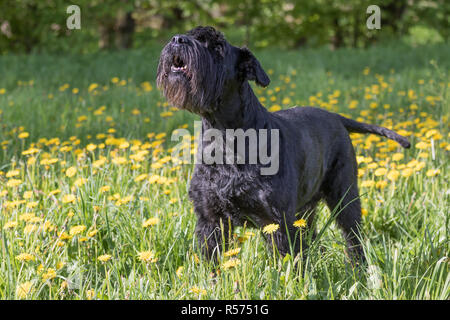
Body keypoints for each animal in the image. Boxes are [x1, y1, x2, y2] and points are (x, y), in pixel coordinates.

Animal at [156, 25, 410, 264]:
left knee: (352, 237)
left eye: (218, 47)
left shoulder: (277, 220)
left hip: (344, 196)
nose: (178, 39)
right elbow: (213, 263)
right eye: (191, 34)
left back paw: (359, 270)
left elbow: (287, 262)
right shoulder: (210, 219)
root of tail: (337, 118)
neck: (226, 136)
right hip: (305, 209)